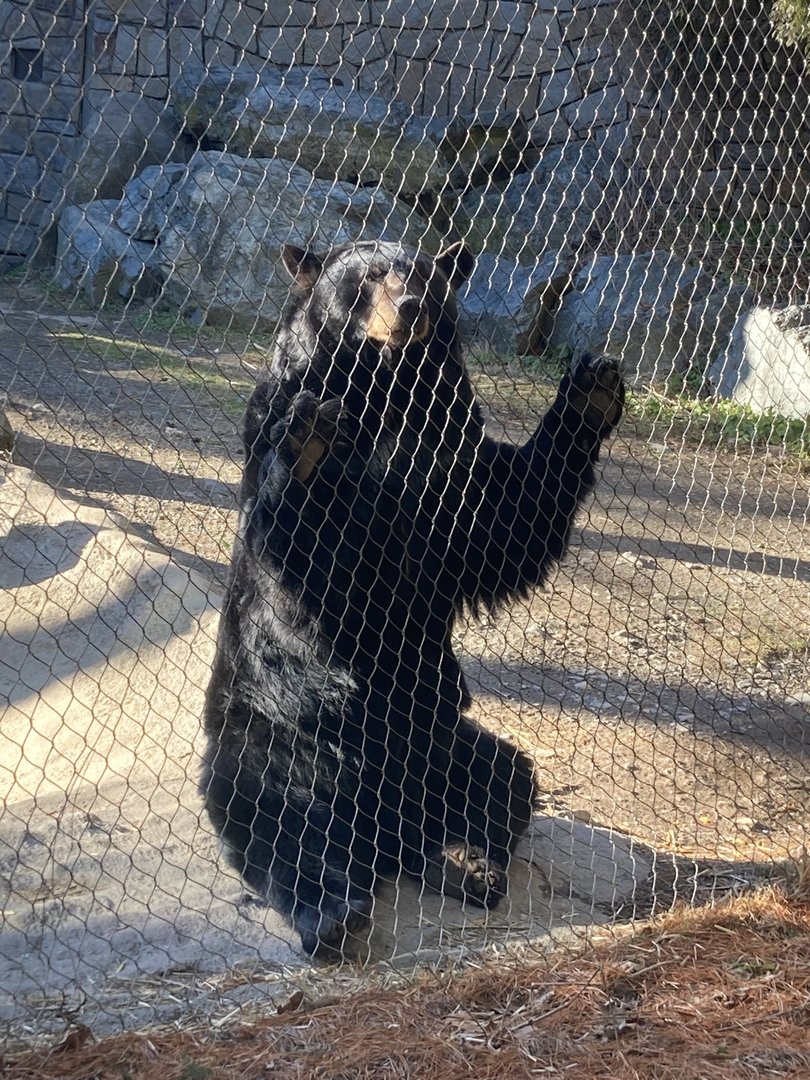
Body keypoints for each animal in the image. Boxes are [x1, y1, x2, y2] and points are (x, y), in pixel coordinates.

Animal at [200, 240, 624, 958]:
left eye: (424, 273)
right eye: (368, 275)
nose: (411, 306)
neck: (386, 390)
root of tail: (381, 835)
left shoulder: (449, 445)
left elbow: (499, 524)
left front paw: (590, 391)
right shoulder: (281, 439)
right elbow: (316, 563)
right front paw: (311, 443)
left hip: (444, 739)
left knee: (502, 777)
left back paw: (462, 861)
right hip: (273, 733)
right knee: (277, 814)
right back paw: (333, 912)